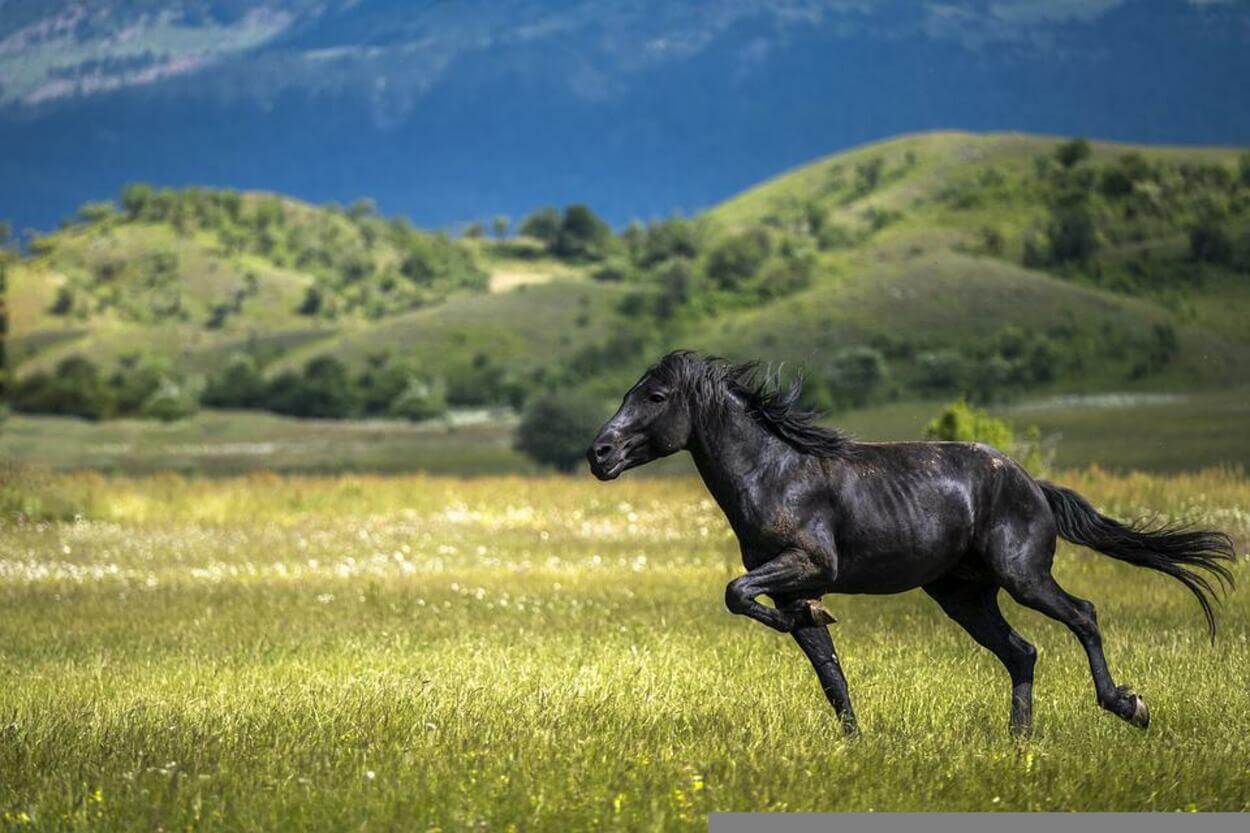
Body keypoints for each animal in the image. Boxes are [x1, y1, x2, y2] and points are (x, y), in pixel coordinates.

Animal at [586, 351, 1236, 736]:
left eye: (656, 397)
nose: (600, 454)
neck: (775, 473)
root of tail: (1033, 484)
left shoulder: (807, 564)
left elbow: (736, 592)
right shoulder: (792, 584)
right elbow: (825, 666)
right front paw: (851, 738)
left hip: (1024, 576)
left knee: (1083, 615)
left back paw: (1128, 706)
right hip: (963, 595)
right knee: (1022, 652)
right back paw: (1019, 742)